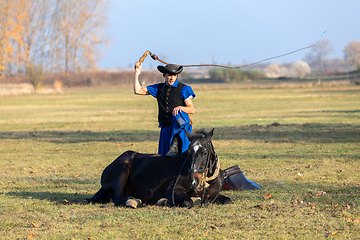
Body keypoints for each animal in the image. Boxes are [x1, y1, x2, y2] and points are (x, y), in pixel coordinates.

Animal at [88, 129, 232, 208]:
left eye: (205, 152)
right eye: (189, 152)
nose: (193, 181)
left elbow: (226, 200)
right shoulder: (174, 191)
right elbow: (188, 202)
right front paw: (165, 202)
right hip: (122, 169)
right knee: (118, 199)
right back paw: (133, 201)